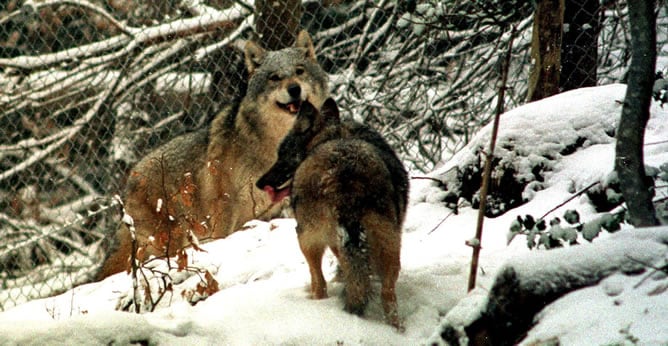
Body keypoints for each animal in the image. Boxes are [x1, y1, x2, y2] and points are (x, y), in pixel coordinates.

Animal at [95, 30, 330, 282]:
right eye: (275, 77)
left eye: (299, 71)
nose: (294, 88)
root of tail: (131, 177)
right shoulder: (224, 205)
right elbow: (222, 238)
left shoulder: (267, 210)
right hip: (168, 239)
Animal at [256, 98, 410, 330]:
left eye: (282, 155)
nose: (259, 183)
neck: (333, 135)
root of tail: (344, 171)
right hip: (390, 245)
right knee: (387, 294)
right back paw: (396, 328)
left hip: (306, 239)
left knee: (319, 283)